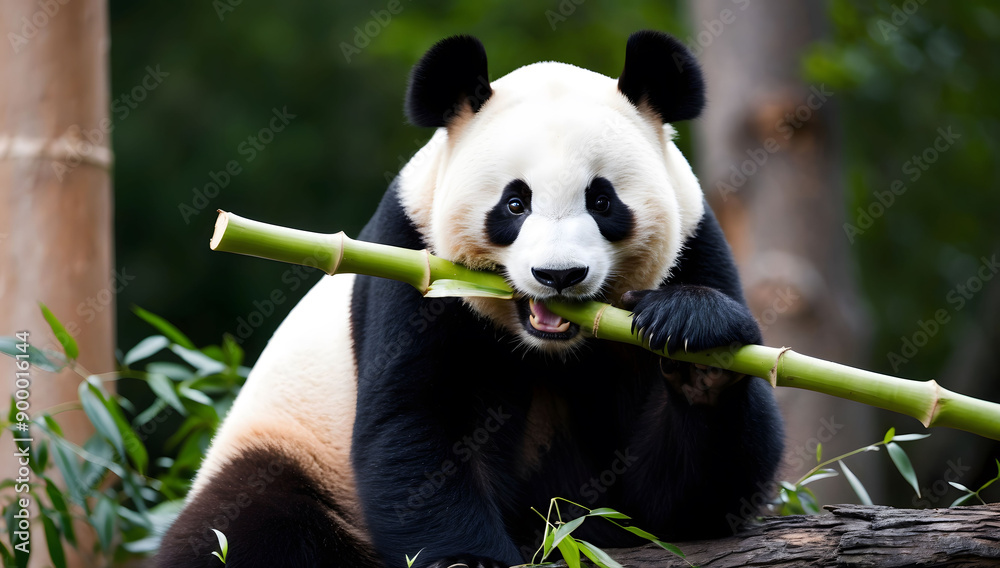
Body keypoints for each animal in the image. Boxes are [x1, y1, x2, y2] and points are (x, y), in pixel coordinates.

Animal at [157, 31, 783, 568]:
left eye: (602, 201)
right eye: (515, 203)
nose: (559, 275)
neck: (547, 347)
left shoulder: (697, 244)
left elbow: (678, 504)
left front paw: (695, 342)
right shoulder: (413, 260)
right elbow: (417, 421)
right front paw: (469, 558)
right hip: (292, 448)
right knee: (252, 523)